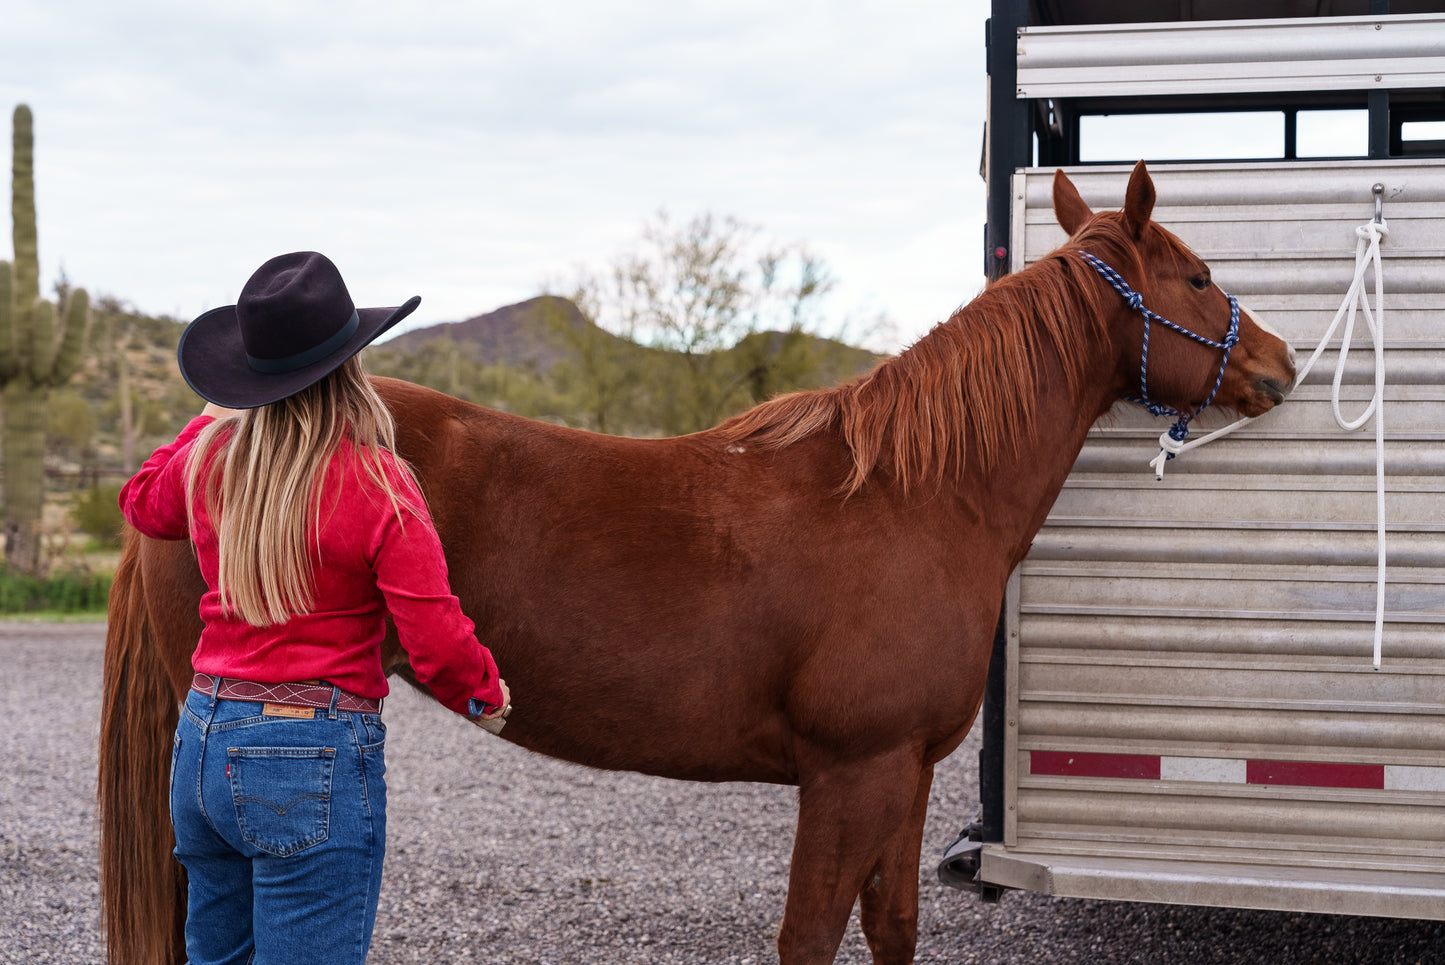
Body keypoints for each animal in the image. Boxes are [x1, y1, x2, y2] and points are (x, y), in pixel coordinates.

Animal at [98, 161, 1300, 959]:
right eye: (1197, 277)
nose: (1281, 363)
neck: (916, 497)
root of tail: (204, 438)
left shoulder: (904, 773)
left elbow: (894, 925)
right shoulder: (850, 772)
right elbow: (809, 936)